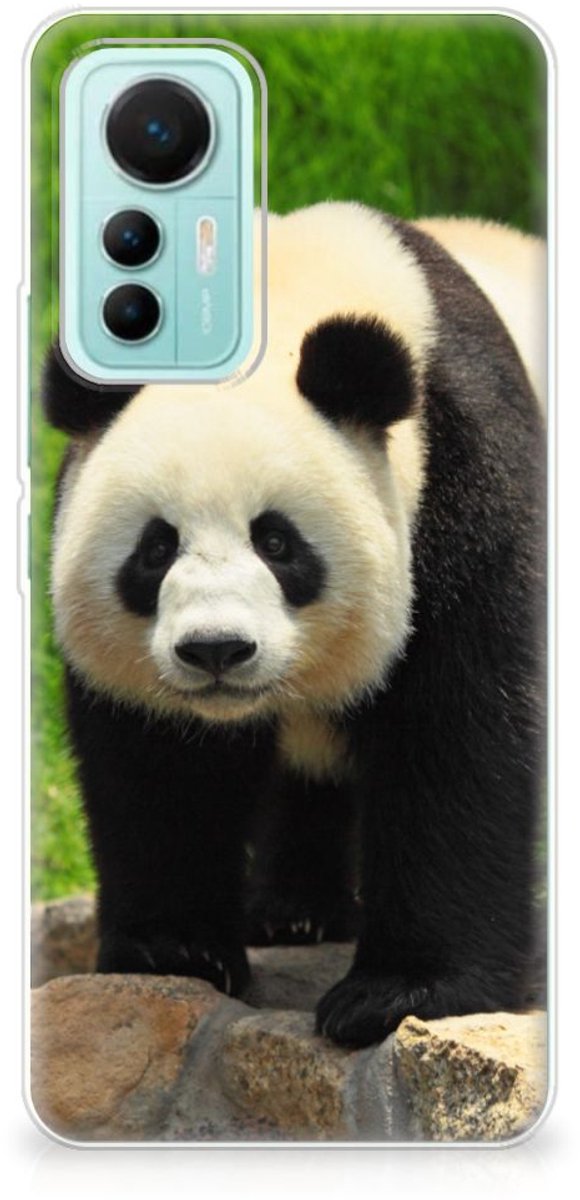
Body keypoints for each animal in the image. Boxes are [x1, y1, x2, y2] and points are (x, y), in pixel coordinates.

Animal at [43, 203, 546, 1048]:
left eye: (277, 542)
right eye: (155, 548)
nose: (216, 650)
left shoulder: (468, 480)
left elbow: (461, 732)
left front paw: (398, 993)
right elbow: (157, 764)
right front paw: (174, 950)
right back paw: (294, 913)